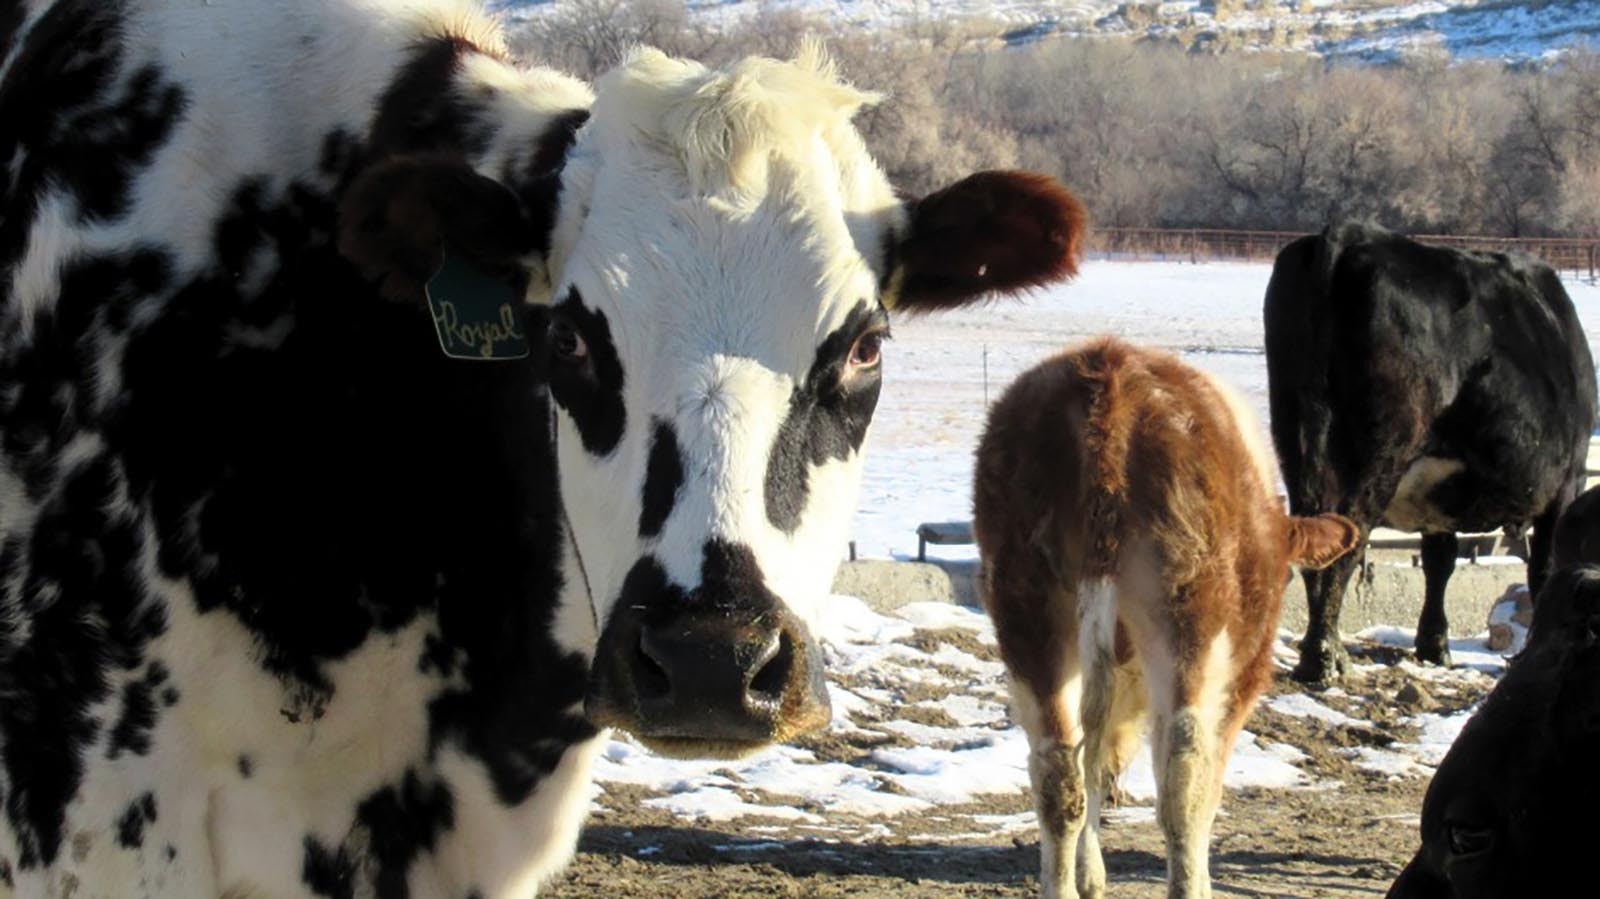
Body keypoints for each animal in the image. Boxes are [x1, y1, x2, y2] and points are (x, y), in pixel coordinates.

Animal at [972, 337, 1363, 895]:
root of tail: (1109, 371)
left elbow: (1097, 764)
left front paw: (1091, 876)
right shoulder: (1238, 679)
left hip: (1029, 607)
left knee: (1059, 767)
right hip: (1188, 616)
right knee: (1183, 770)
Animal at [1267, 222, 1593, 678]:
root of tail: (1348, 234)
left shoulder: (1437, 501)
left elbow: (1440, 562)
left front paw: (1433, 644)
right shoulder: (1567, 482)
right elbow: (1543, 571)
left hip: (1297, 442)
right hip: (1376, 457)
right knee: (1346, 541)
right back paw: (1325, 659)